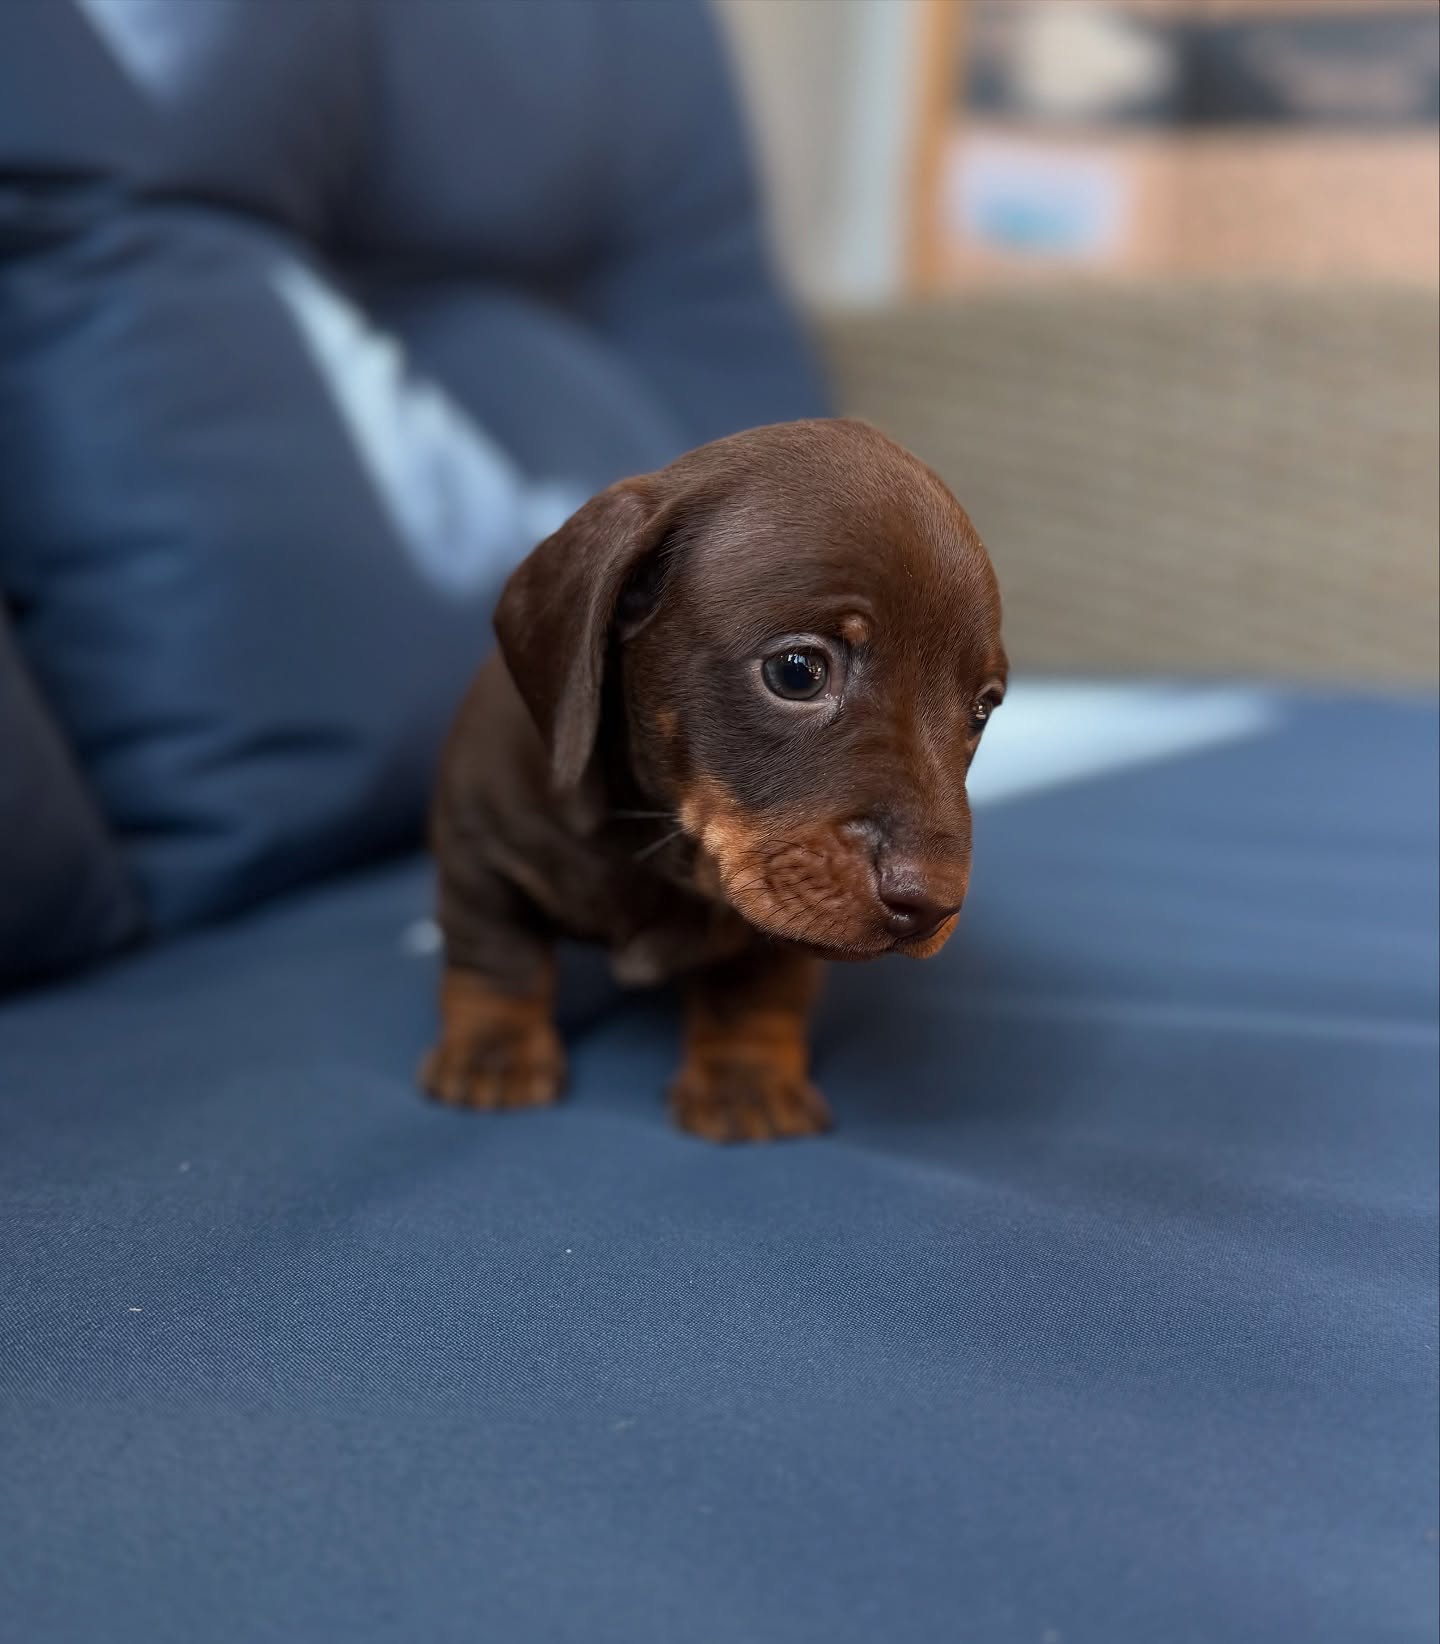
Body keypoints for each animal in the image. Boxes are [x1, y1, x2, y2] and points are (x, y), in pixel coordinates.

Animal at [422, 419, 1006, 1142]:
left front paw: (741, 1076)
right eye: (797, 671)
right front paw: (494, 1049)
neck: (655, 844)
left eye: (983, 708)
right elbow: (496, 952)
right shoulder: (479, 846)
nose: (932, 904)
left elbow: (752, 989)